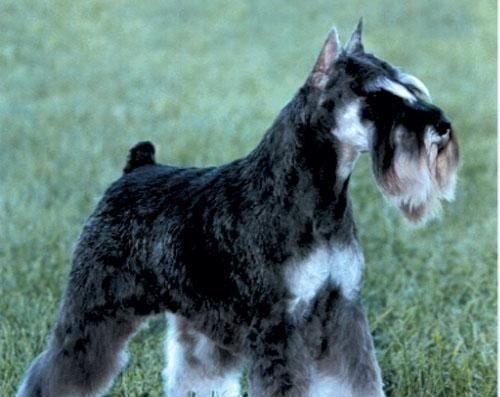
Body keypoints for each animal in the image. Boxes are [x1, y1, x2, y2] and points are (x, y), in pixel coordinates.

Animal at [17, 20, 458, 396]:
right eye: (376, 97)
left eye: (409, 88)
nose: (442, 127)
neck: (315, 195)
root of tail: (137, 167)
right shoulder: (279, 324)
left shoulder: (342, 309)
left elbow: (357, 379)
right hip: (95, 308)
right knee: (60, 364)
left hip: (195, 315)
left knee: (194, 372)